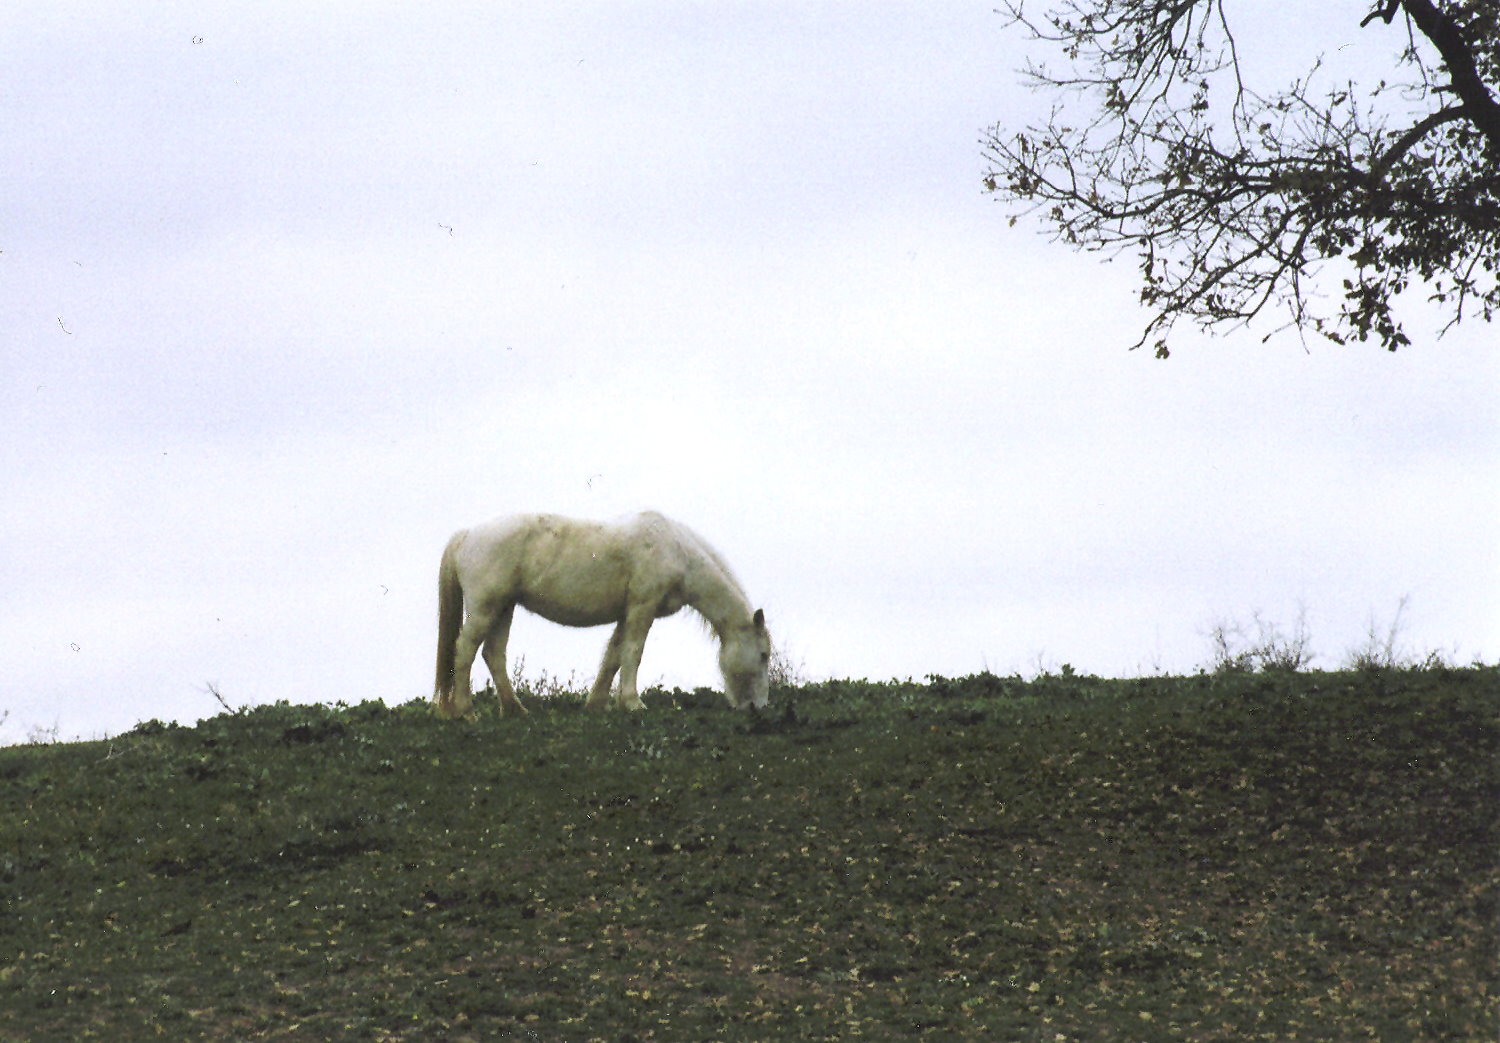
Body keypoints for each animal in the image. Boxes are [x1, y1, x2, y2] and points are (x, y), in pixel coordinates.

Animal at [429, 513, 768, 717]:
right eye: (764, 655)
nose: (758, 706)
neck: (674, 550)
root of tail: (467, 535)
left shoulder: (626, 613)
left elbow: (613, 656)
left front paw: (598, 703)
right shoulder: (642, 607)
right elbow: (633, 653)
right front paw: (633, 702)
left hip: (503, 608)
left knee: (493, 654)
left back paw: (515, 710)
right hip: (485, 608)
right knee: (465, 651)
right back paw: (466, 710)